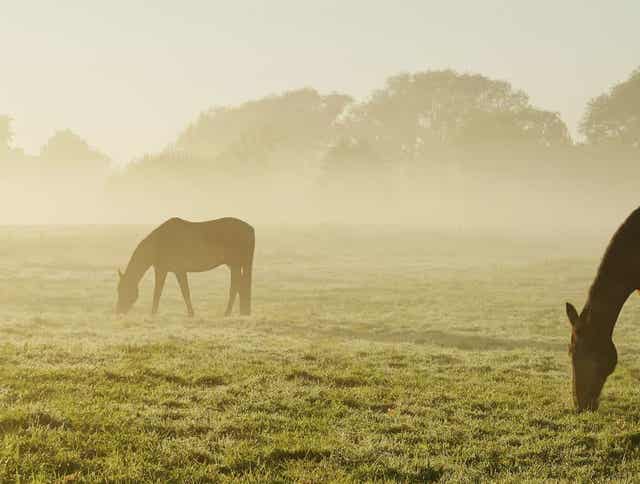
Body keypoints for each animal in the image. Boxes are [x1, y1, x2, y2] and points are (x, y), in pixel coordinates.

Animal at [115, 216, 255, 316]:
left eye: (123, 290)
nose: (118, 311)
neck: (159, 242)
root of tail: (250, 229)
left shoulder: (179, 270)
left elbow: (183, 291)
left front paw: (190, 313)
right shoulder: (162, 270)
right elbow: (158, 291)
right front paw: (154, 313)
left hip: (236, 264)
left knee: (235, 286)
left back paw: (228, 313)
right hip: (235, 265)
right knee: (241, 285)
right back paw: (243, 312)